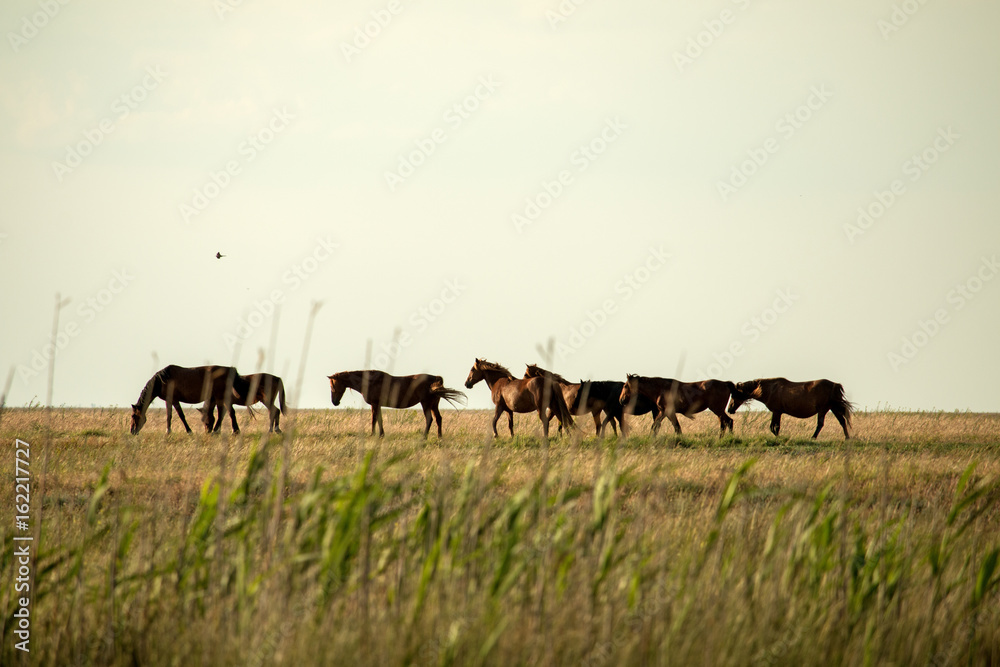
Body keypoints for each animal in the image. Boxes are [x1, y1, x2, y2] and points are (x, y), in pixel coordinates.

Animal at [327, 370, 466, 438]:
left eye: (333, 385)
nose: (335, 402)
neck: (370, 381)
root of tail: (435, 378)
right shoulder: (377, 405)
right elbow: (378, 419)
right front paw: (380, 434)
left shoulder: (375, 404)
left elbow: (374, 419)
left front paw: (374, 434)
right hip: (433, 405)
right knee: (438, 419)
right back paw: (439, 437)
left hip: (426, 404)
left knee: (429, 419)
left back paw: (424, 436)